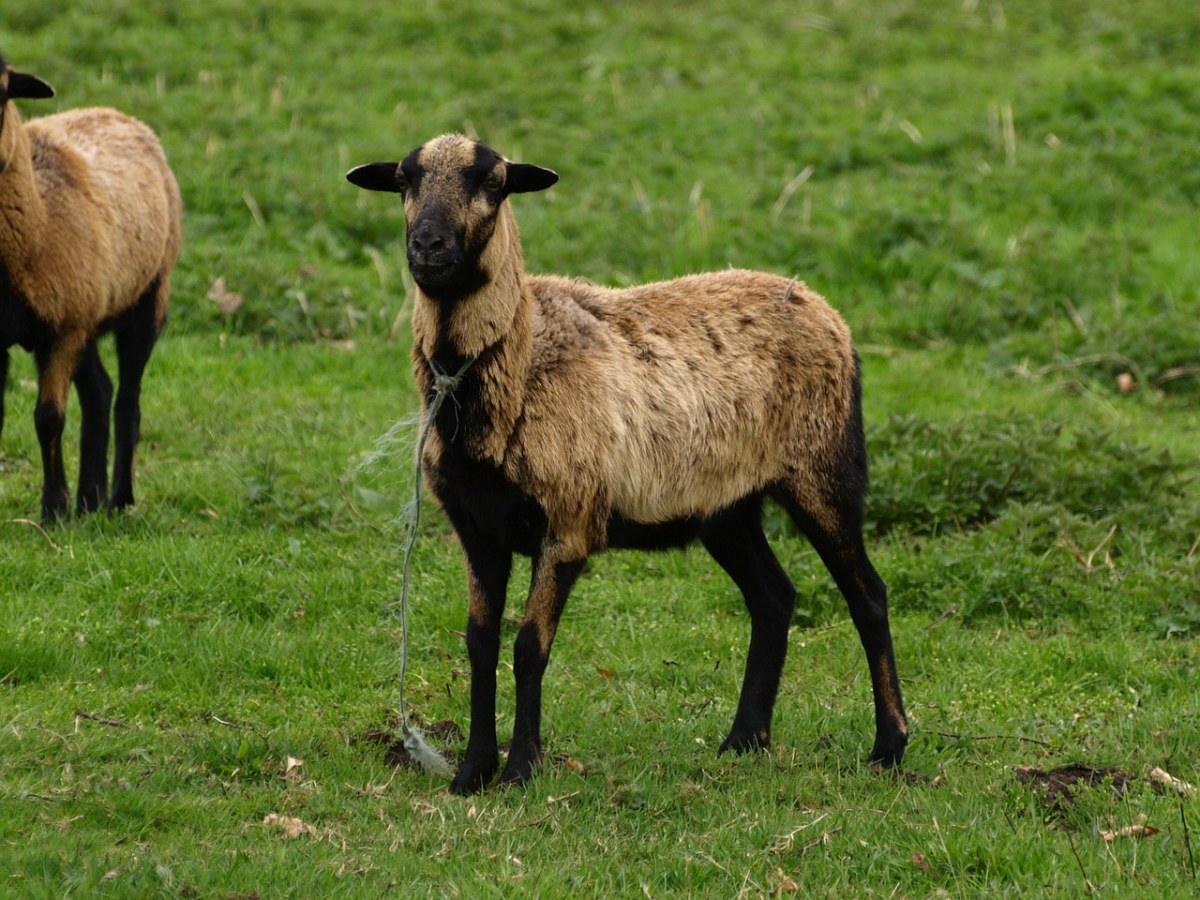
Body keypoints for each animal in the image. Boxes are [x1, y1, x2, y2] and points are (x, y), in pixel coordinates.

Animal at [0, 58, 182, 520]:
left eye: (2, 92)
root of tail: (115, 112)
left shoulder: (64, 329)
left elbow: (48, 417)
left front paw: (54, 508)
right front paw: (69, 503)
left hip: (146, 300)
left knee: (128, 402)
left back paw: (118, 500)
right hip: (90, 312)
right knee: (100, 391)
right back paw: (89, 500)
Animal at [343, 133, 902, 796]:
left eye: (494, 182)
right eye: (403, 179)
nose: (428, 246)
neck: (517, 367)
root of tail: (821, 306)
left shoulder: (568, 522)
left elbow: (528, 647)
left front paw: (521, 769)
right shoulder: (477, 529)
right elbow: (479, 643)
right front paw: (472, 773)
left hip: (823, 469)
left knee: (867, 594)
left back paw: (889, 747)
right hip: (726, 507)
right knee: (774, 598)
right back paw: (744, 741)